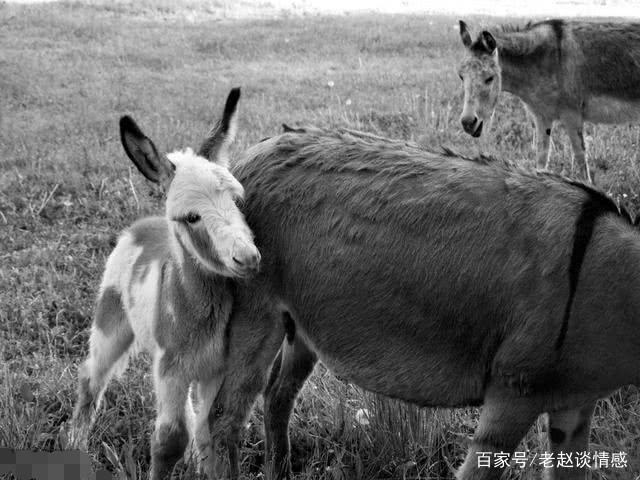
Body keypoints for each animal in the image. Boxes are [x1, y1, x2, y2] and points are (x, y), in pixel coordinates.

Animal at [70, 88, 260, 478]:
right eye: (192, 217)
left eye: (237, 199)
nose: (247, 258)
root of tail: (142, 225)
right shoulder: (171, 367)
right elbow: (169, 438)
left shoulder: (214, 369)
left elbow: (209, 430)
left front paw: (207, 467)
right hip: (112, 320)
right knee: (91, 376)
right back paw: (76, 444)